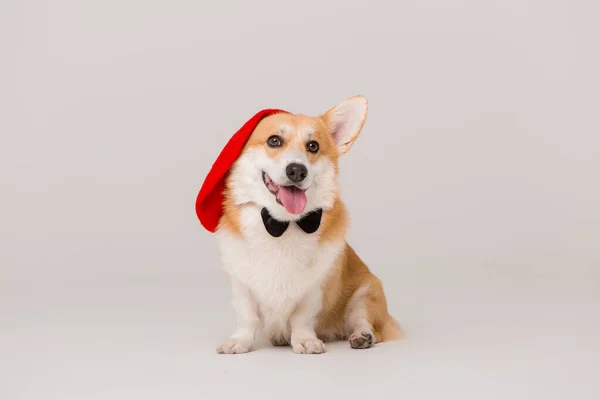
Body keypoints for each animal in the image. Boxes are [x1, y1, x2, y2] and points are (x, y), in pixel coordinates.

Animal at [209, 97, 400, 354]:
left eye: (313, 146)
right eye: (274, 141)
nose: (297, 170)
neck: (283, 223)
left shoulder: (315, 287)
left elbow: (301, 316)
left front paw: (305, 340)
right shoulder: (241, 286)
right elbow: (247, 317)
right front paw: (239, 342)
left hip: (366, 292)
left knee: (364, 321)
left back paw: (362, 336)